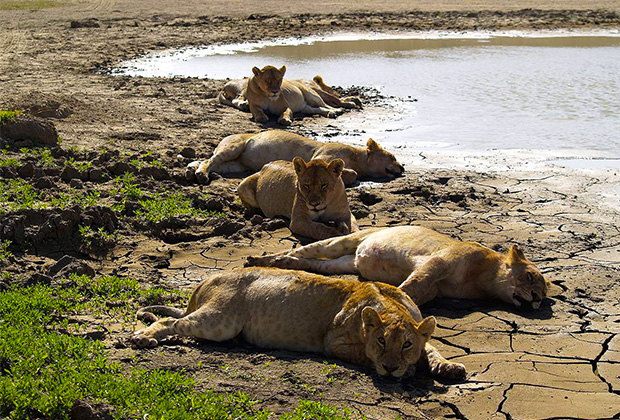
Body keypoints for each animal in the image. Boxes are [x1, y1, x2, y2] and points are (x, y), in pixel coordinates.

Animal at [133, 270, 468, 380]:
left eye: (407, 344)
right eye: (381, 341)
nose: (390, 368)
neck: (390, 305)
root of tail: (206, 279)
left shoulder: (421, 332)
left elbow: (433, 350)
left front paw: (449, 367)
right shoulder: (333, 342)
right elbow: (361, 354)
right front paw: (404, 370)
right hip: (219, 320)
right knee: (170, 321)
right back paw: (142, 338)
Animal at [186, 130, 404, 185]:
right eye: (392, 156)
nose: (403, 167)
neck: (357, 157)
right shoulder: (321, 155)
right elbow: (351, 172)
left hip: (236, 165)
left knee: (212, 162)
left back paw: (191, 169)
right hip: (234, 145)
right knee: (210, 160)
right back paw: (200, 174)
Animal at [219, 67, 360, 124]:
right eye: (267, 81)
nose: (275, 91)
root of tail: (225, 86)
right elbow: (335, 98)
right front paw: (350, 101)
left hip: (309, 101)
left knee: (321, 107)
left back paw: (334, 111)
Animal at [246, 226, 548, 308]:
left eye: (545, 295)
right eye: (531, 277)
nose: (536, 300)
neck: (483, 280)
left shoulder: (435, 288)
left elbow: (417, 292)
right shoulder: (437, 262)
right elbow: (410, 287)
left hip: (342, 263)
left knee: (311, 263)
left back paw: (282, 263)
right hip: (341, 241)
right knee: (302, 249)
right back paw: (262, 260)